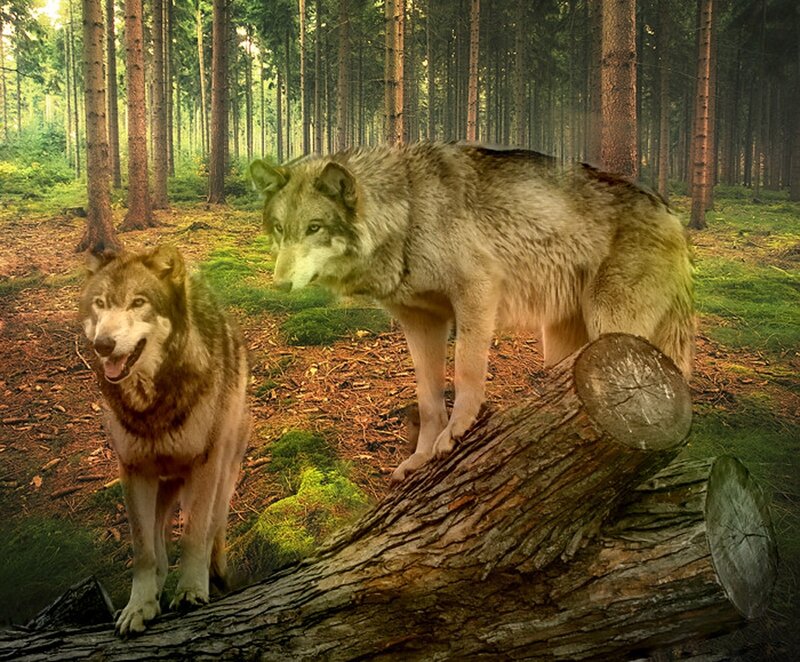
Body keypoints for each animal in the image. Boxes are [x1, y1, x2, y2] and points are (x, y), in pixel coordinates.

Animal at [79, 245, 250, 636]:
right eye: (100, 303)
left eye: (138, 302)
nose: (103, 345)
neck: (152, 404)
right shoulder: (133, 470)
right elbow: (144, 550)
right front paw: (140, 605)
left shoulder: (205, 466)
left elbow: (194, 534)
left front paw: (190, 590)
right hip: (163, 485)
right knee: (158, 537)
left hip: (224, 471)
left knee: (216, 523)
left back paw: (216, 573)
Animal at [249, 143, 694, 482]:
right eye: (280, 229)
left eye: (314, 228)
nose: (280, 284)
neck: (408, 214)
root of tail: (671, 214)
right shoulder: (420, 321)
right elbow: (428, 398)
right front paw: (420, 457)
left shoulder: (477, 293)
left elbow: (465, 371)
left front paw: (457, 432)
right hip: (562, 344)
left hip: (612, 330)